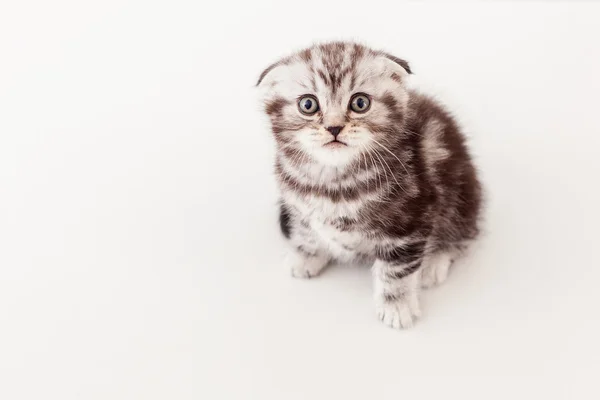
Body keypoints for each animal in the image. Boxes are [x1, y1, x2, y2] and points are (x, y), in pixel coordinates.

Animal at [255, 42, 480, 328]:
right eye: (308, 104)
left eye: (360, 103)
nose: (334, 128)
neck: (334, 183)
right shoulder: (297, 202)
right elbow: (307, 230)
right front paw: (306, 254)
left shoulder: (410, 220)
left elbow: (396, 268)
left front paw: (397, 305)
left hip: (462, 193)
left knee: (461, 231)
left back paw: (434, 261)